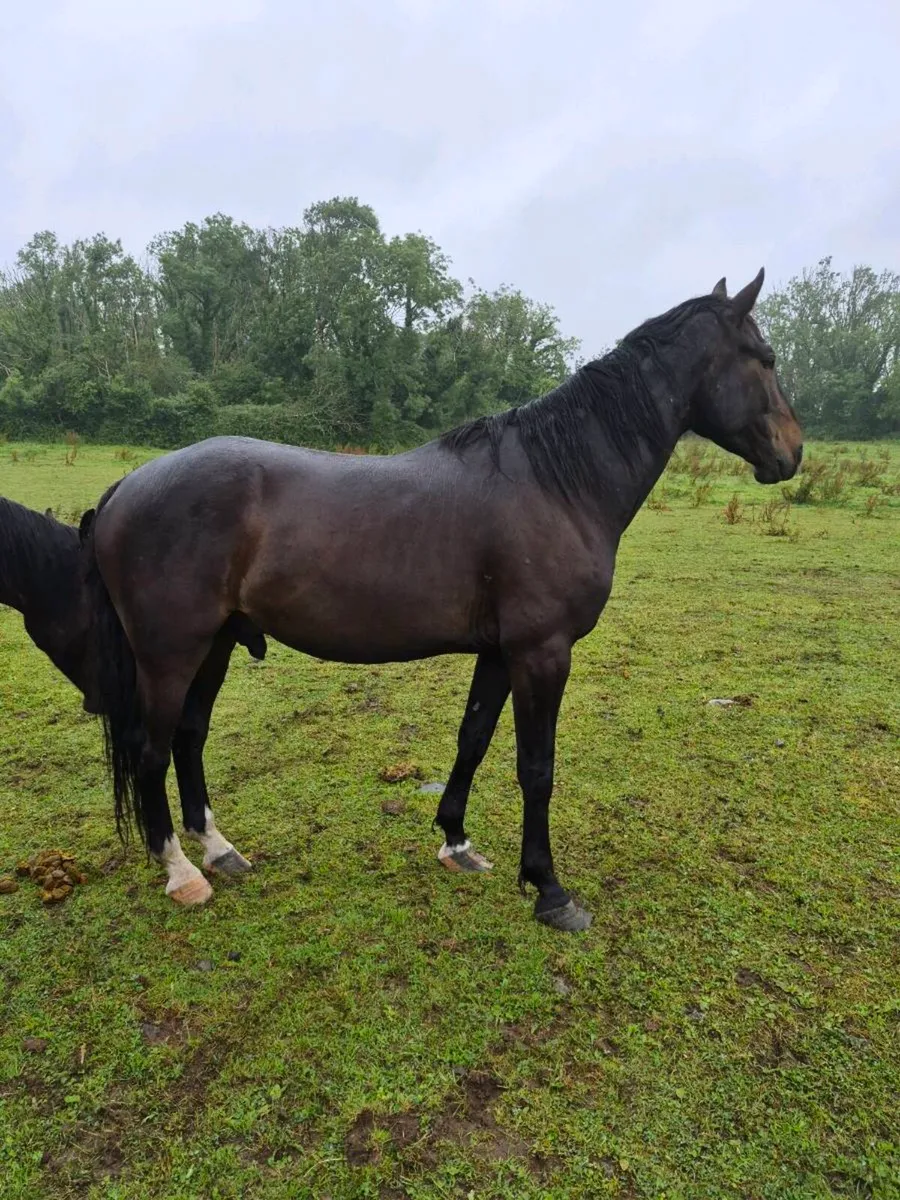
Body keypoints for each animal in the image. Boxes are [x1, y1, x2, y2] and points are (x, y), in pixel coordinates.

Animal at [81, 269, 802, 931]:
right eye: (764, 358)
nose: (792, 453)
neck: (556, 482)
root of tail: (123, 489)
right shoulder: (542, 653)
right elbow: (536, 767)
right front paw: (549, 889)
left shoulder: (502, 652)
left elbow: (473, 739)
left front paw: (457, 841)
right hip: (171, 654)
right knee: (151, 749)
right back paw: (181, 873)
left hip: (218, 643)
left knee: (189, 737)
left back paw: (220, 850)